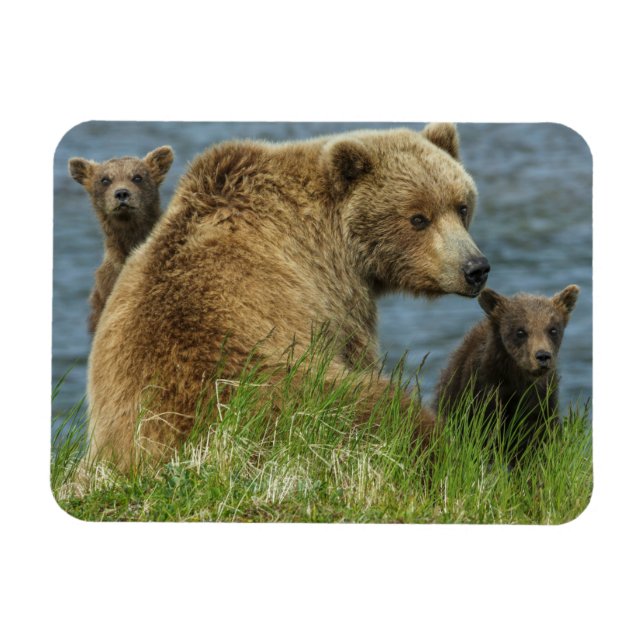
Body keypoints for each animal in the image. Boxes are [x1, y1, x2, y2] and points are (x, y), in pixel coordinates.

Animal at [86, 123, 490, 471]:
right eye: (418, 218)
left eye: (461, 206)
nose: (475, 268)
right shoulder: (333, 295)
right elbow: (358, 352)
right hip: (282, 396)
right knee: (380, 412)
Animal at [432, 284, 580, 461]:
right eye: (520, 331)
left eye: (553, 329)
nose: (543, 356)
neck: (517, 379)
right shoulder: (485, 392)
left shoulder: (541, 399)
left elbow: (538, 439)